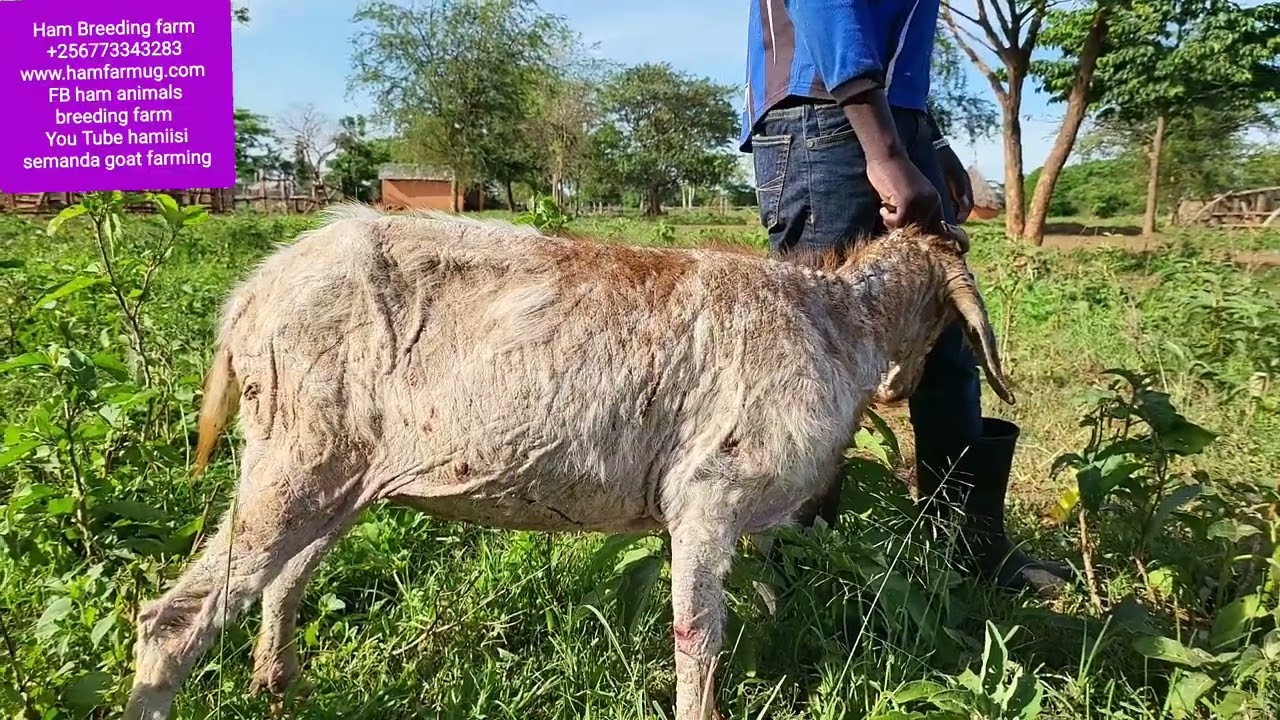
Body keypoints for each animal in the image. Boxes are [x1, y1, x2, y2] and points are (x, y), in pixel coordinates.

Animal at [122, 205, 1013, 720]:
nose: (902, 389)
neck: (837, 322)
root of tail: (251, 294)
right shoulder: (707, 497)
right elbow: (698, 643)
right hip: (296, 452)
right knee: (175, 619)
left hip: (340, 473)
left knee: (283, 581)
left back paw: (281, 689)